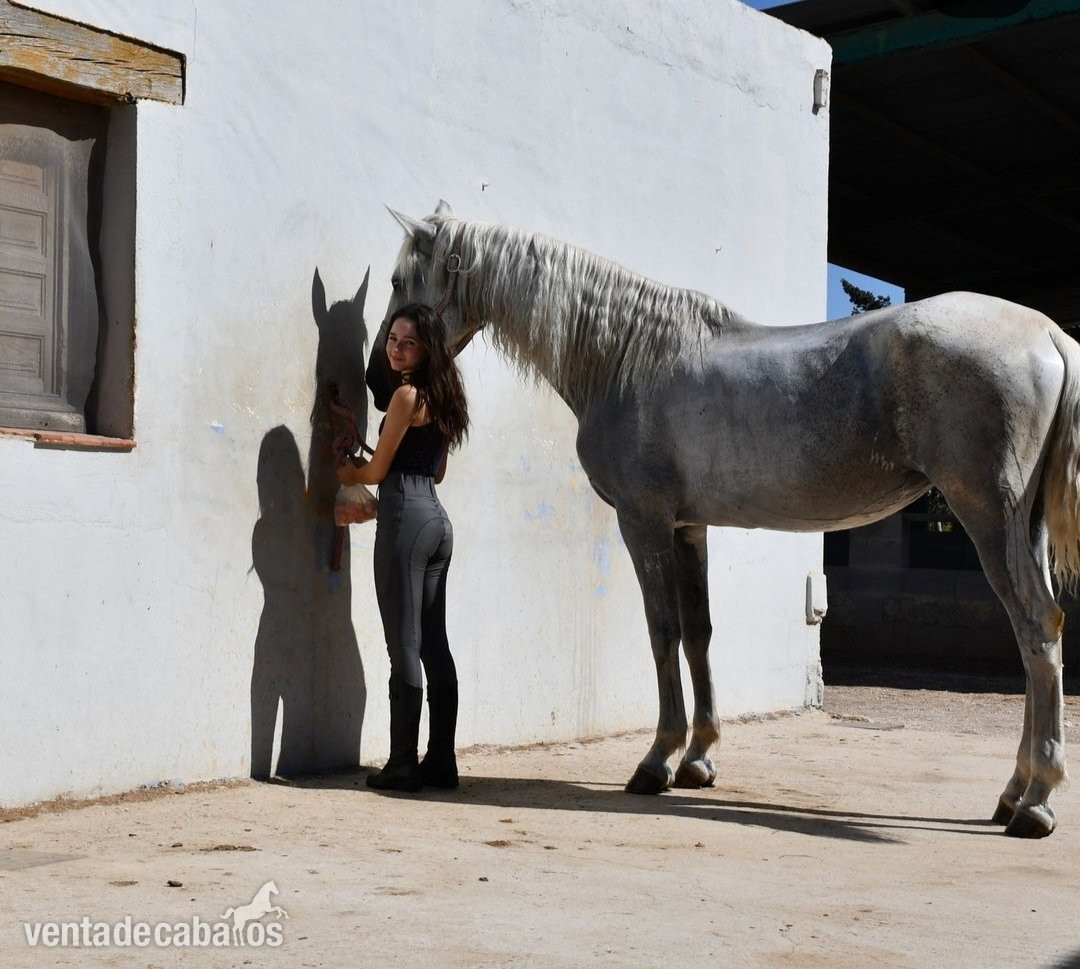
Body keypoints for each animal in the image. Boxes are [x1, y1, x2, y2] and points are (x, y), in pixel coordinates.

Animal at [371, 199, 1078, 839]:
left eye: (402, 282)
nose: (382, 380)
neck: (627, 357)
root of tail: (1047, 333)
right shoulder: (689, 529)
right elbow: (699, 633)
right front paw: (699, 760)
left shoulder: (645, 523)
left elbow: (661, 633)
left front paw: (656, 762)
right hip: (1026, 525)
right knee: (1035, 636)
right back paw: (1013, 794)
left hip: (988, 516)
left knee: (1036, 628)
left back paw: (1037, 802)